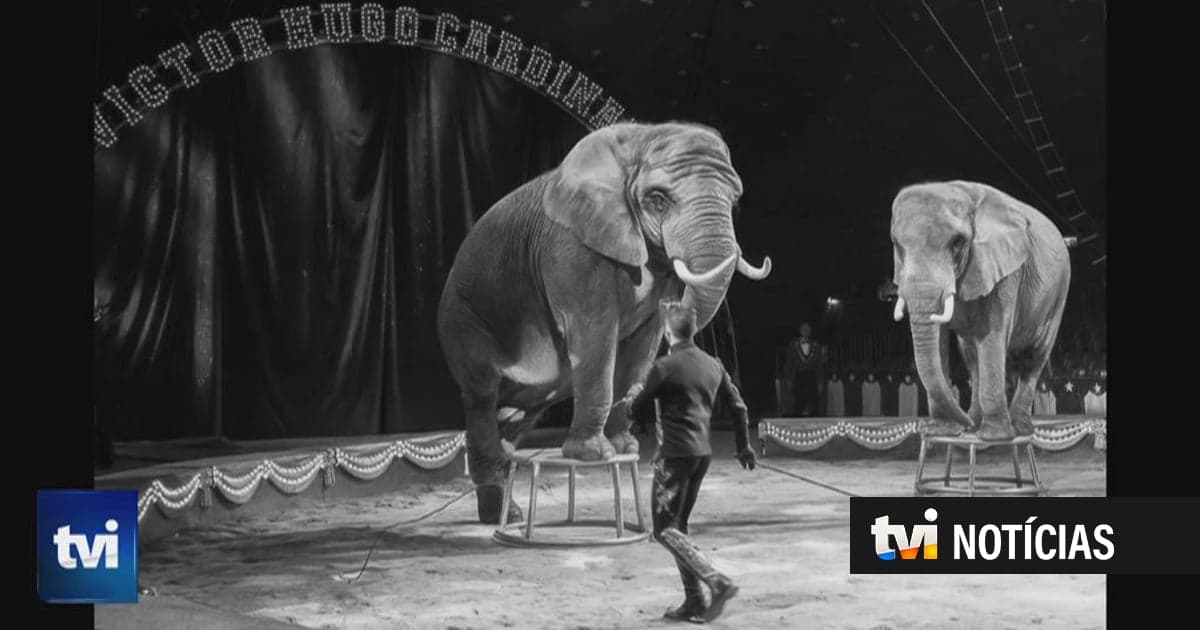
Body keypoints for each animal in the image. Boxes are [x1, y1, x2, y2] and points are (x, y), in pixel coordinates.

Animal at [437, 122, 772, 524]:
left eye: (734, 203)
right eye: (658, 199)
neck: (640, 139)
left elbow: (644, 343)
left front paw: (623, 446)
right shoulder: (572, 249)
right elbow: (595, 334)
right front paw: (593, 455)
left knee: (518, 414)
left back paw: (506, 508)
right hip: (464, 320)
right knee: (483, 397)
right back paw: (503, 516)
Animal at [890, 181, 1070, 441]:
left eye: (957, 242)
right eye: (897, 246)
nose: (964, 424)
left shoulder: (1005, 270)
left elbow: (993, 336)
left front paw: (995, 436)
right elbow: (942, 341)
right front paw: (940, 430)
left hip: (1059, 295)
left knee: (1033, 357)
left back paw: (1017, 429)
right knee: (972, 357)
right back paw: (976, 422)